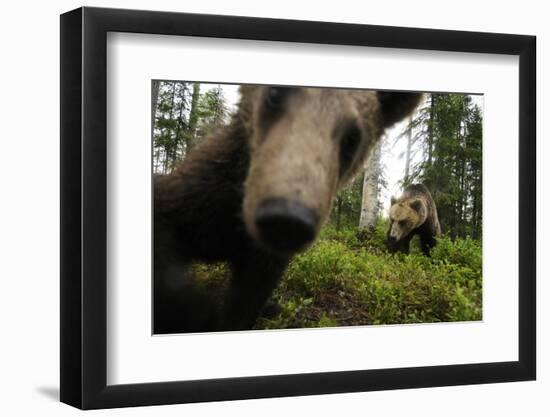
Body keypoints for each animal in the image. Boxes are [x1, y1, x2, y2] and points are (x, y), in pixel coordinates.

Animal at [153, 84, 424, 332]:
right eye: (274, 94)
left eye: (352, 138)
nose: (286, 219)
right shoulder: (200, 198)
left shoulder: (264, 261)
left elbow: (245, 303)